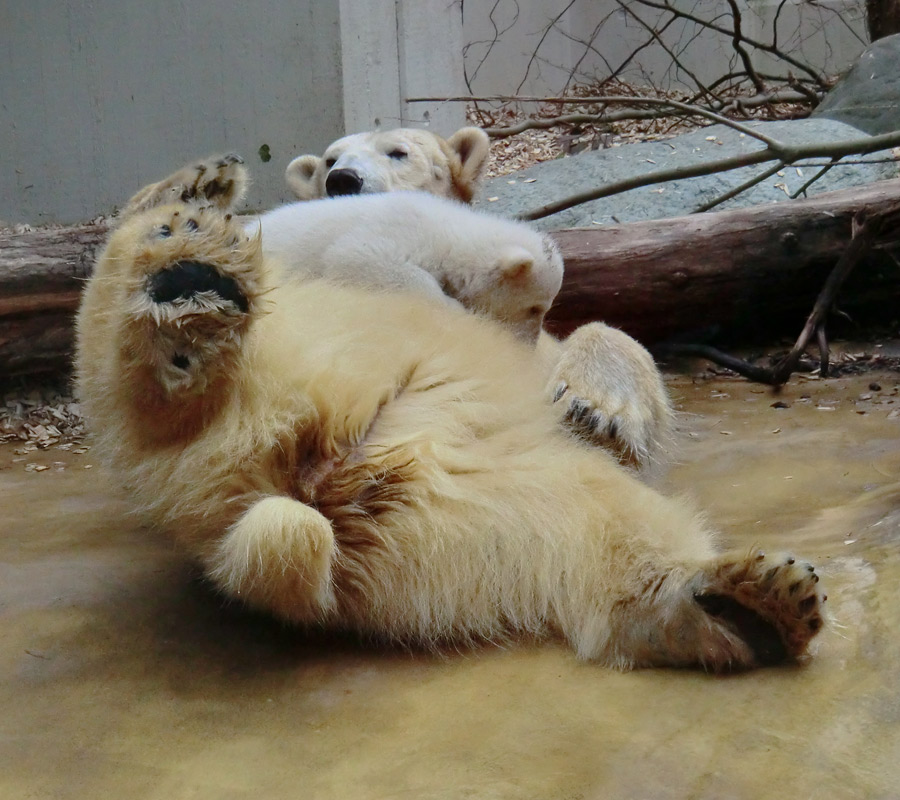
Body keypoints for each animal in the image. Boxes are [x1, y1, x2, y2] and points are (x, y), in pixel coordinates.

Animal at [74, 155, 828, 668]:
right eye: (534, 306)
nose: (524, 338)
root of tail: (313, 480)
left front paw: (596, 409)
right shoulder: (372, 253)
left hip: (469, 502)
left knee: (597, 524)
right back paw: (184, 255)